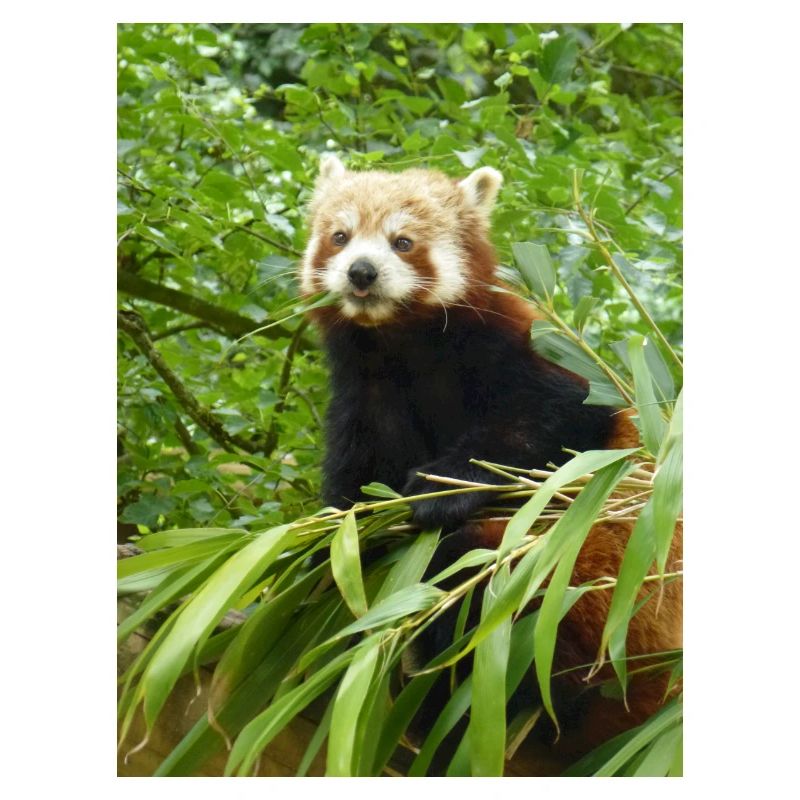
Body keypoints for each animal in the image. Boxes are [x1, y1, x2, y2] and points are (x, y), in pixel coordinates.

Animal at [300, 154, 682, 771]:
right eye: (340, 236)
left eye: (403, 242)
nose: (361, 272)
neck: (404, 344)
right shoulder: (368, 394)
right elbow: (357, 483)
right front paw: (337, 539)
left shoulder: (527, 356)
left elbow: (543, 423)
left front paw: (442, 488)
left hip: (609, 593)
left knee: (482, 576)